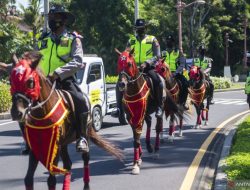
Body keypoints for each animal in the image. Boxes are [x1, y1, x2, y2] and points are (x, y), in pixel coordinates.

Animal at [9, 51, 123, 189]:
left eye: (30, 81)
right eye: (10, 81)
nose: (16, 112)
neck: (42, 115)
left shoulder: (54, 146)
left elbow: (51, 180)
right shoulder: (36, 148)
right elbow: (28, 179)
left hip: (84, 134)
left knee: (85, 159)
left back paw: (86, 184)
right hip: (64, 143)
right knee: (68, 164)